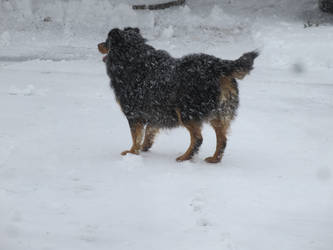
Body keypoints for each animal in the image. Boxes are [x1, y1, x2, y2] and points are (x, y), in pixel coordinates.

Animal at [97, 27, 258, 164]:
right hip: (217, 112)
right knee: (222, 139)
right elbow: (149, 130)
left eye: (106, 41)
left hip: (187, 111)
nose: (98, 45)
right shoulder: (154, 110)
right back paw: (214, 159)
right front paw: (145, 147)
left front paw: (131, 154)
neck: (134, 58)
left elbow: (135, 137)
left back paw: (185, 157)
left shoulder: (133, 113)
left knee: (198, 138)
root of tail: (218, 65)